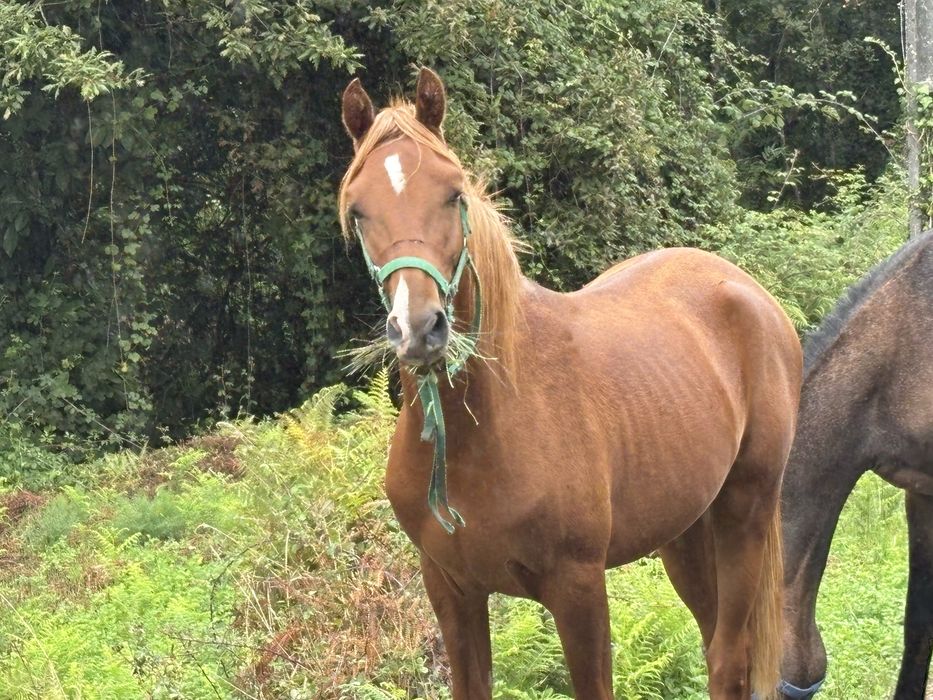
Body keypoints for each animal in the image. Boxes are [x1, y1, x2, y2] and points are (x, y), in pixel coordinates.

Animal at [338, 68, 802, 700]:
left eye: (454, 194)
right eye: (359, 210)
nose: (419, 327)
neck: (483, 428)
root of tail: (749, 292)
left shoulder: (578, 590)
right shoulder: (452, 589)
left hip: (746, 512)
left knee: (730, 656)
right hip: (684, 531)